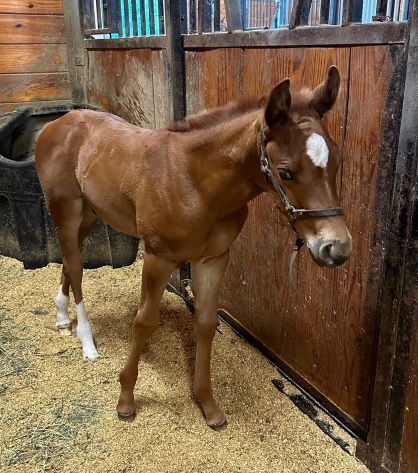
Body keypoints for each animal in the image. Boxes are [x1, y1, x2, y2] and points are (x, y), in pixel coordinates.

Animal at [34, 64, 352, 430]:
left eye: (337, 160)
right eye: (285, 172)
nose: (336, 247)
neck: (196, 183)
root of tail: (58, 123)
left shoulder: (213, 259)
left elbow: (205, 323)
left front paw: (207, 404)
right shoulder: (158, 258)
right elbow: (144, 321)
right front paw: (126, 399)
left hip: (88, 214)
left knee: (70, 259)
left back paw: (61, 317)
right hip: (65, 209)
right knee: (74, 265)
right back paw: (87, 342)